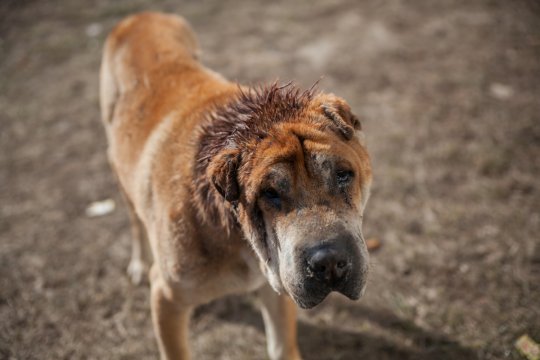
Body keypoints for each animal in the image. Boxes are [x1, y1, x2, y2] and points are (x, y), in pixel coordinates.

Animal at [100, 11, 372, 360]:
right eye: (269, 193)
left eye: (343, 175)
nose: (329, 263)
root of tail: (140, 15)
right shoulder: (166, 297)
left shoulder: (276, 287)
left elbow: (282, 345)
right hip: (117, 165)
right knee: (135, 218)